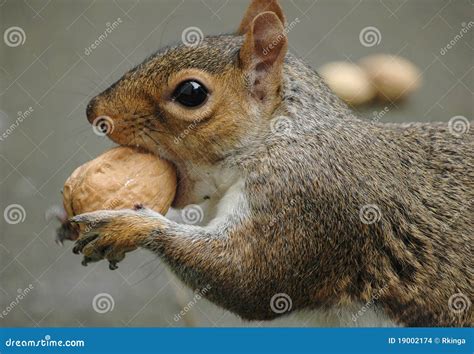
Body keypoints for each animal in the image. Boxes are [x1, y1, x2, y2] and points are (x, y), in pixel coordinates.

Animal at [71, 0, 474, 326]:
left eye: (191, 93)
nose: (93, 110)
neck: (277, 138)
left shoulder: (308, 201)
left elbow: (248, 279)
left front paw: (126, 225)